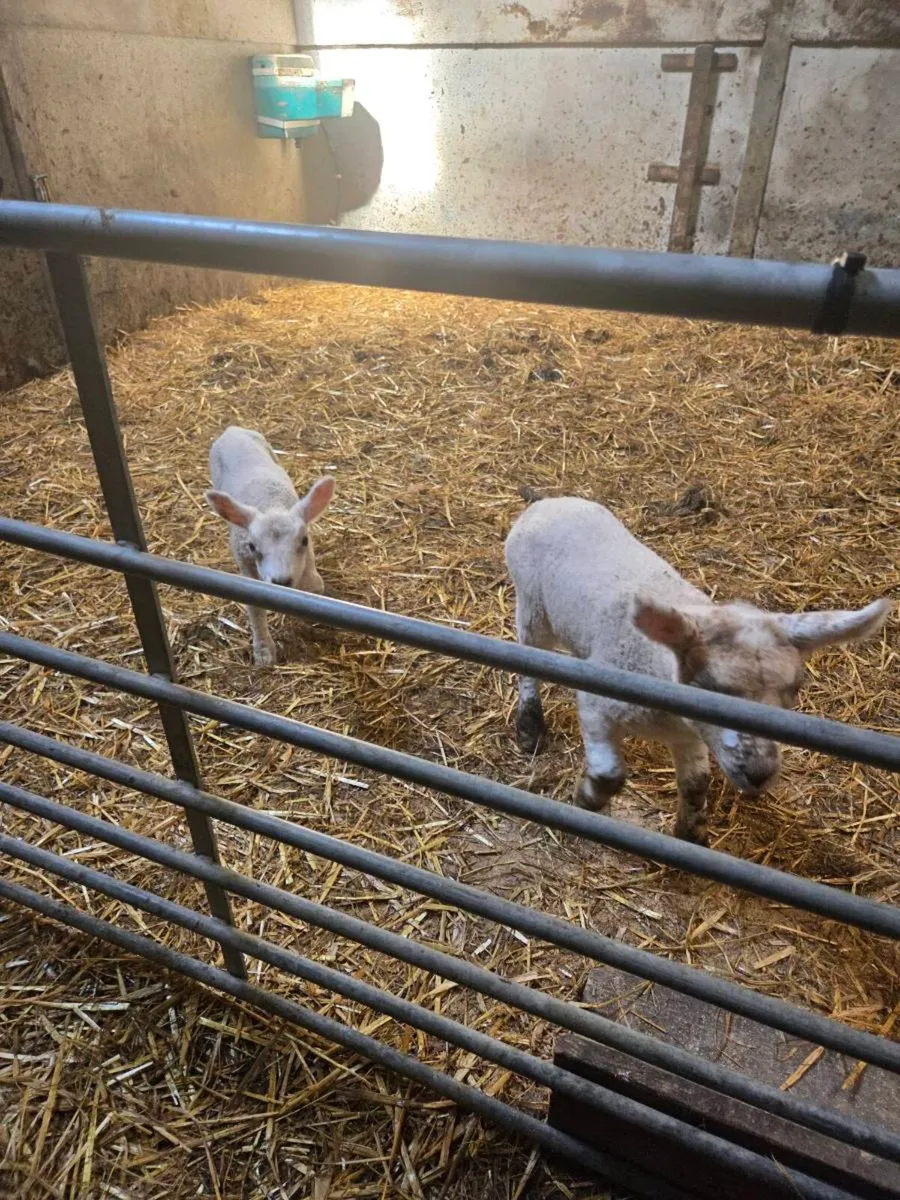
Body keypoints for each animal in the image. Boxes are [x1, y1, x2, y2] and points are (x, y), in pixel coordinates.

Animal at [206, 426, 334, 666]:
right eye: (252, 546)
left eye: (304, 540)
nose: (281, 581)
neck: (270, 504)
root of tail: (231, 429)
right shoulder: (245, 563)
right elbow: (255, 608)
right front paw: (263, 651)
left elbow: (314, 586)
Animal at [505, 496, 891, 844]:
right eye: (711, 687)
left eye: (794, 689)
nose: (760, 774)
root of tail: (549, 501)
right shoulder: (599, 701)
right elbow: (610, 773)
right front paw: (586, 799)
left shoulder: (689, 736)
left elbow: (695, 785)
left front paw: (691, 834)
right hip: (532, 606)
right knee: (527, 664)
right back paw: (530, 726)